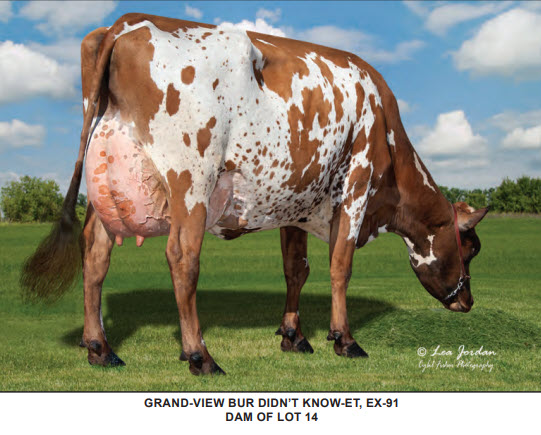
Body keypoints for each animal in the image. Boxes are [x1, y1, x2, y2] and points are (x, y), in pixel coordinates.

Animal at [21, 13, 488, 375]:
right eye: (471, 249)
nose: (467, 302)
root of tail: (125, 22)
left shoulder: (298, 202)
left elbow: (296, 269)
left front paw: (293, 336)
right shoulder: (357, 182)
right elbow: (340, 267)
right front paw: (344, 339)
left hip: (107, 177)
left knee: (95, 254)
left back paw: (101, 349)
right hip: (191, 179)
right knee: (182, 257)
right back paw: (199, 355)